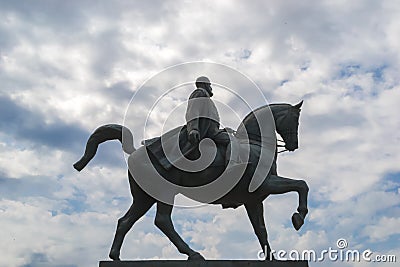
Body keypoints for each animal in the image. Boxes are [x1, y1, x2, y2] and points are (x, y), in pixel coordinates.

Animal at [76, 101, 310, 262]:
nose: (294, 145)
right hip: (164, 192)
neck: (256, 144)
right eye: (296, 119)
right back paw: (193, 253)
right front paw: (298, 217)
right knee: (162, 221)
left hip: (145, 197)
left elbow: (261, 229)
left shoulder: (254, 199)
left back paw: (116, 256)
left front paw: (272, 257)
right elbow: (301, 184)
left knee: (126, 221)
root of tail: (134, 152)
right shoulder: (266, 184)